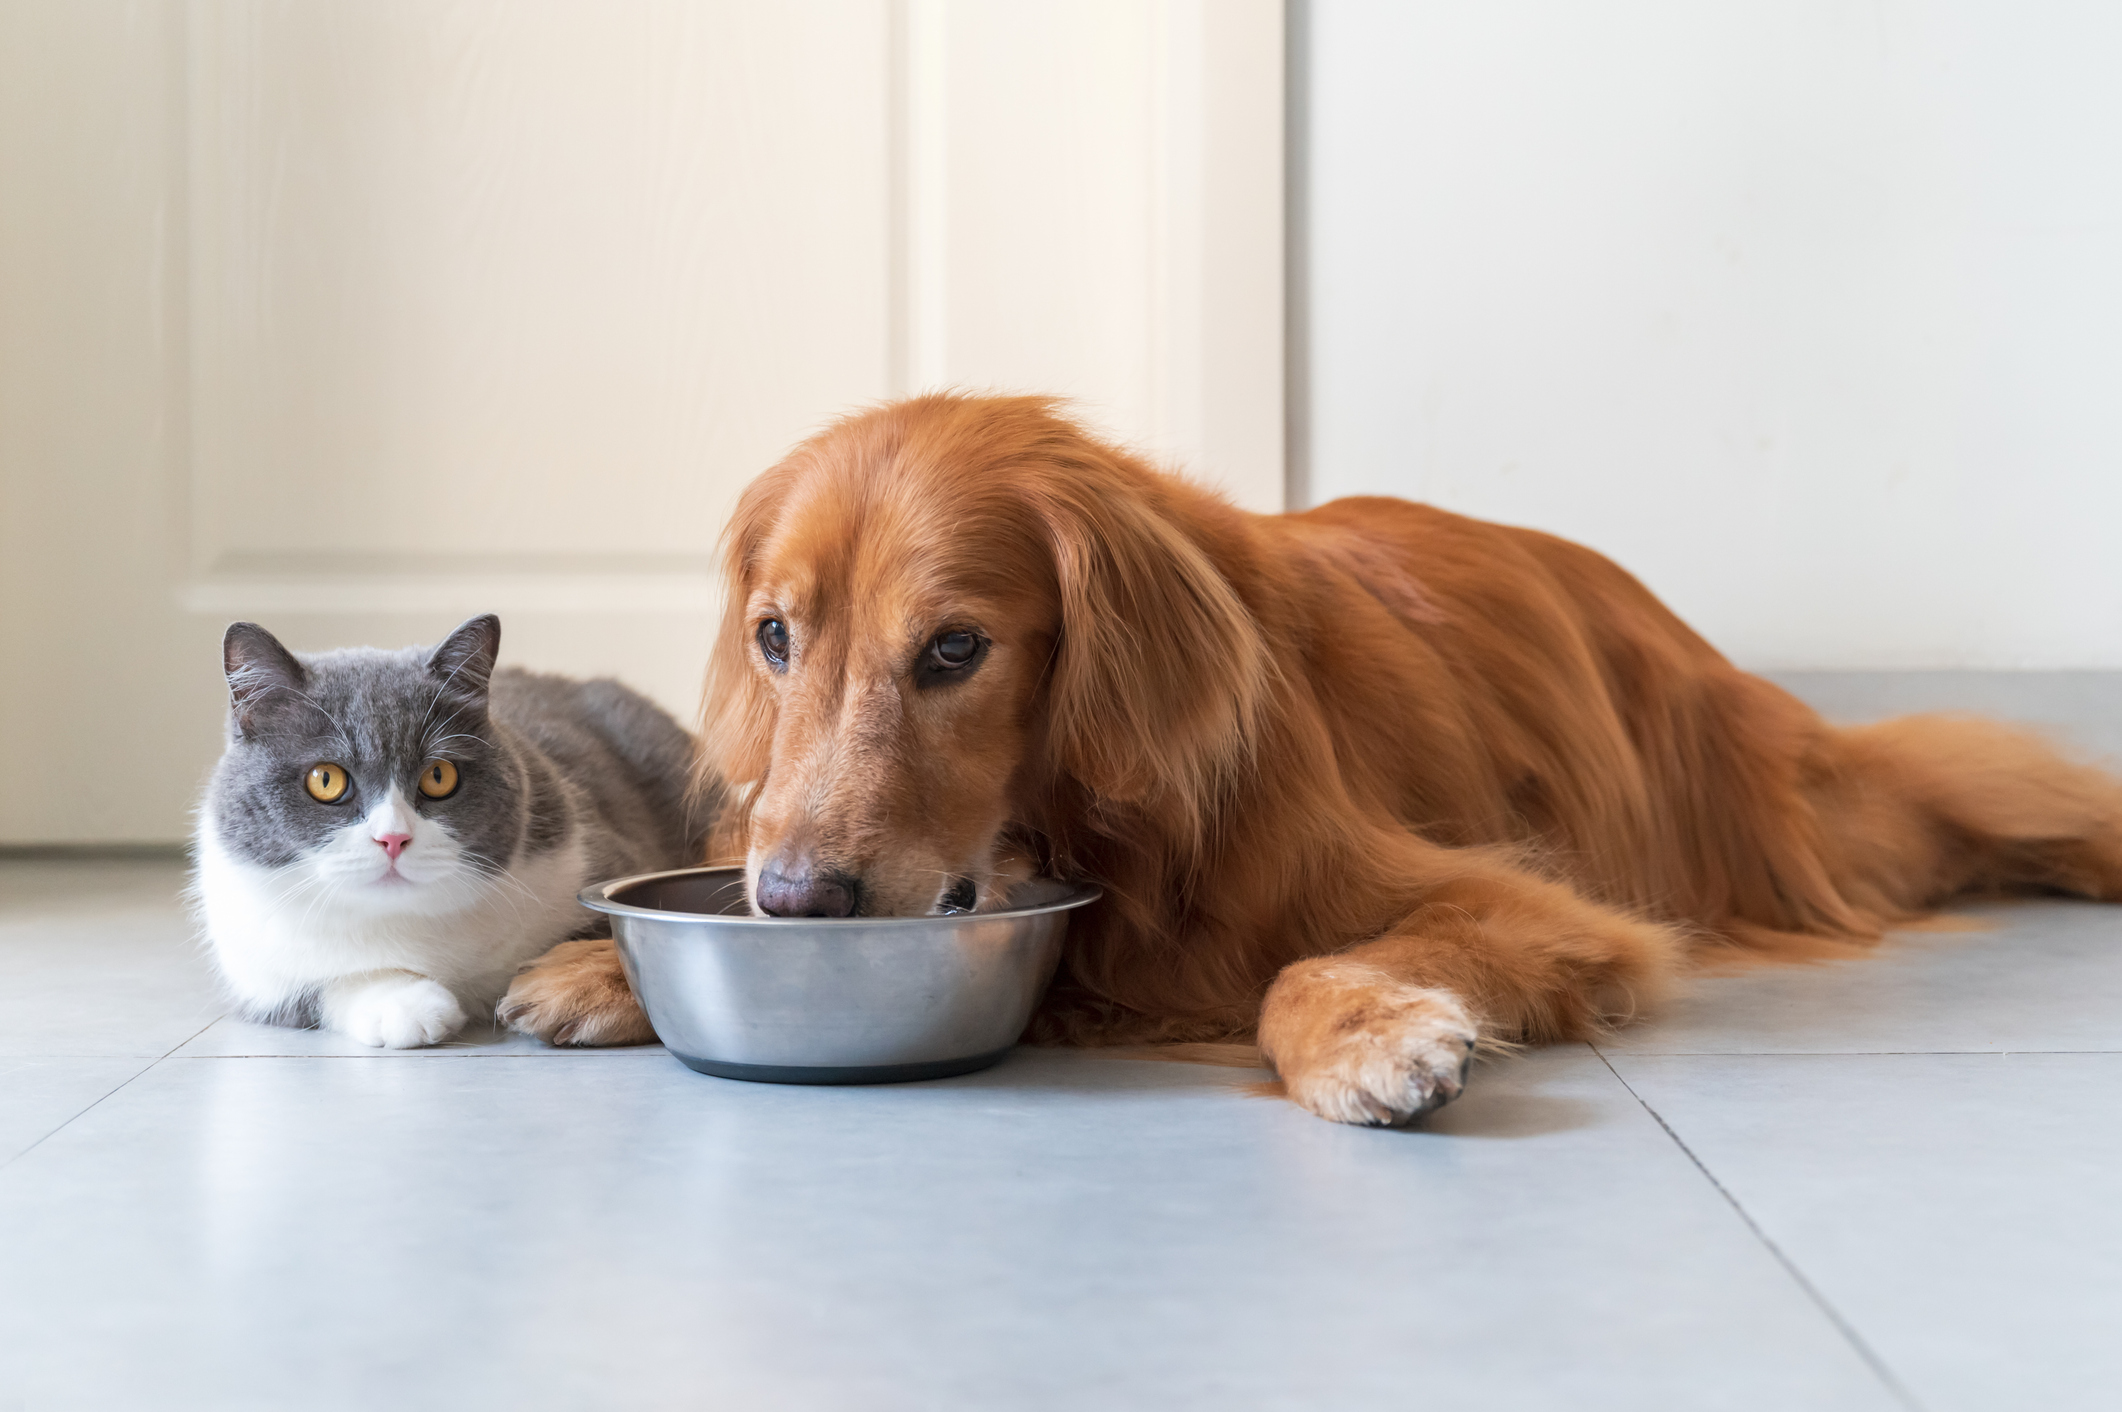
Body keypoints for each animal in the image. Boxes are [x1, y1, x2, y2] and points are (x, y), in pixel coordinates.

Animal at [193, 615, 704, 1044]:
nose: (393, 838)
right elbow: (319, 986)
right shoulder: (254, 965)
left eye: (439, 776)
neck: (407, 922)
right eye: (325, 779)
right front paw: (409, 1006)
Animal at [505, 390, 2122, 1121]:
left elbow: (1302, 962)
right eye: (776, 638)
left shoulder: (1547, 912)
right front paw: (596, 965)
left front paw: (1367, 1033)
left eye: (954, 651)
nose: (791, 904)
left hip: (1806, 817)